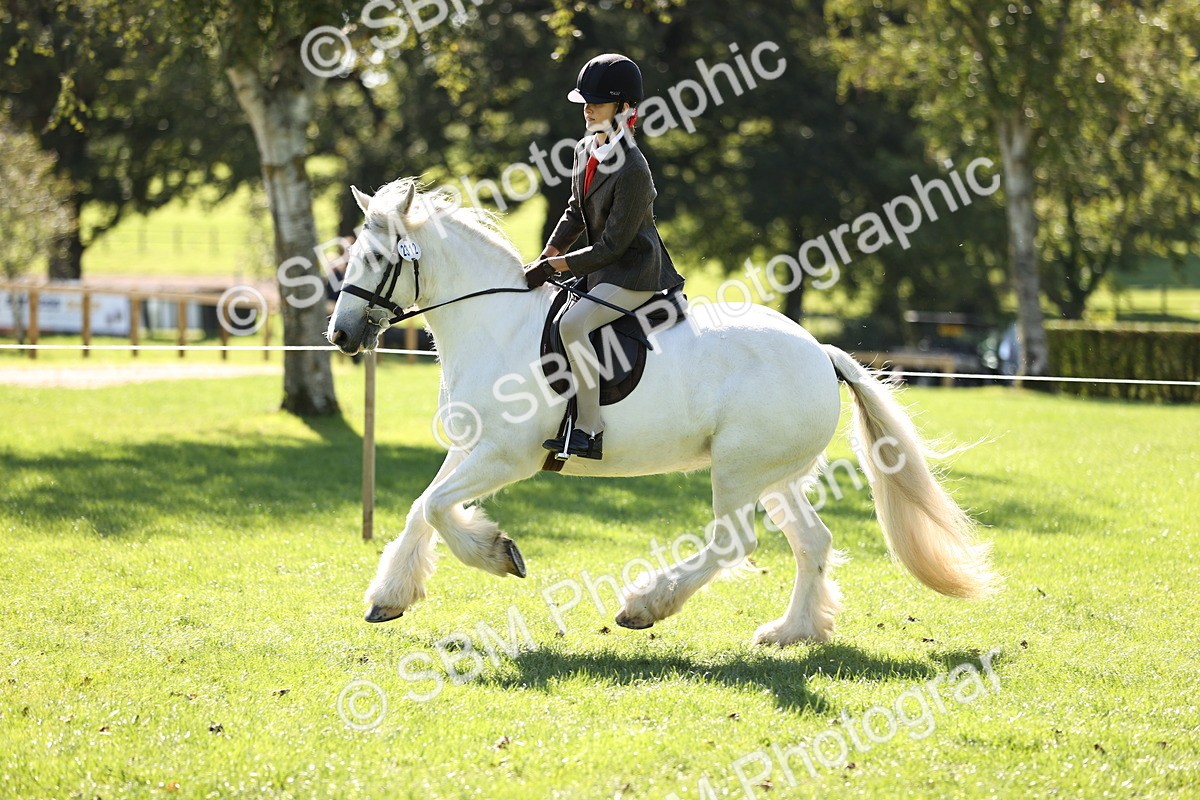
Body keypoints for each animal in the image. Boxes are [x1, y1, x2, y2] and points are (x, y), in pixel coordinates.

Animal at [327, 178, 997, 646]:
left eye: (376, 259)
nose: (341, 336)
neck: (497, 323)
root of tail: (821, 352)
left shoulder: (506, 456)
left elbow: (437, 507)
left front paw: (498, 554)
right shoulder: (470, 448)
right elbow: (423, 506)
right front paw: (390, 597)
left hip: (738, 470)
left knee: (734, 541)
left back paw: (644, 606)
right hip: (775, 476)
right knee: (812, 541)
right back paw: (792, 632)